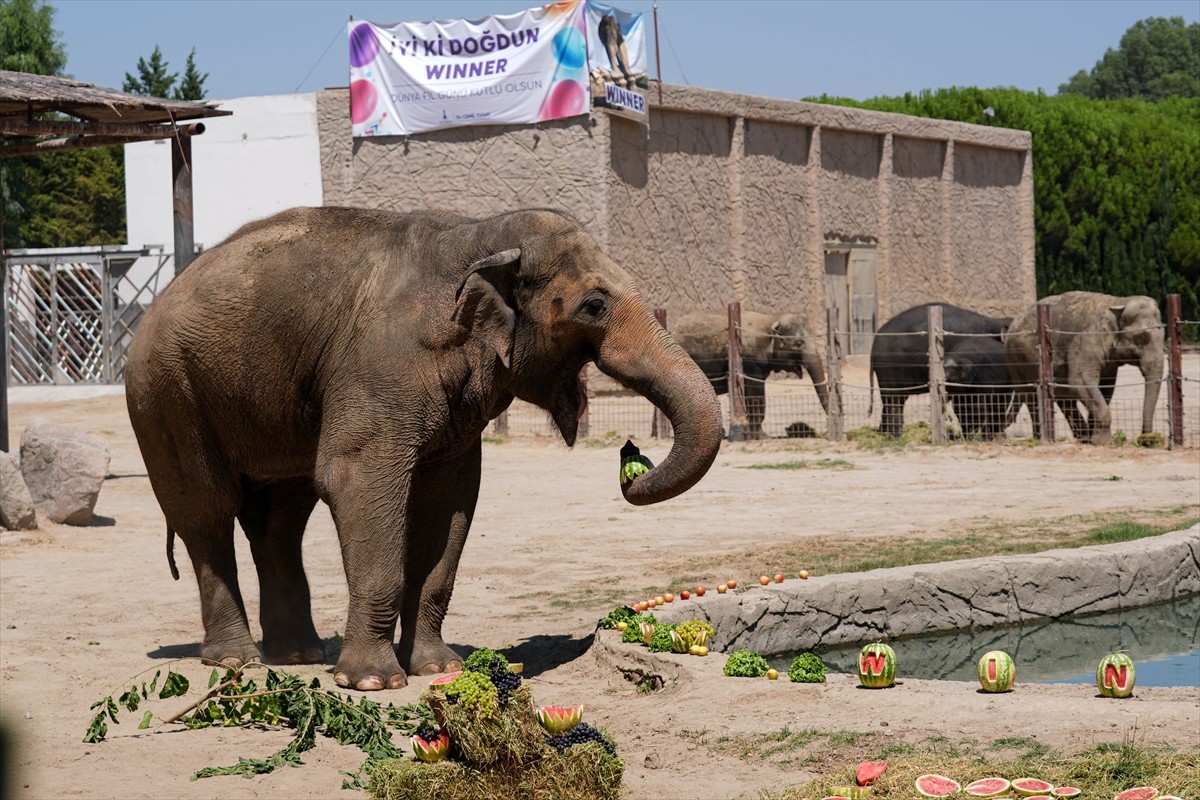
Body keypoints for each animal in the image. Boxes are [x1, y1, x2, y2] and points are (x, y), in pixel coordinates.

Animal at [124, 206, 720, 690]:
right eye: (594, 305)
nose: (629, 458)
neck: (478, 234)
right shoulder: (381, 365)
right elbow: (356, 480)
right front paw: (372, 683)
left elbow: (449, 500)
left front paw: (438, 668)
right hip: (167, 396)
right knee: (207, 512)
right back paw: (235, 662)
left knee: (281, 517)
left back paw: (296, 656)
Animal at [672, 311, 830, 438]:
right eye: (798, 343)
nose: (826, 430)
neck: (770, 318)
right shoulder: (750, 360)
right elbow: (756, 395)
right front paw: (762, 437)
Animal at [1003, 292, 1161, 443]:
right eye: (1143, 337)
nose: (1146, 438)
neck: (1118, 301)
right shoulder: (1086, 340)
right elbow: (1080, 382)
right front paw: (1103, 441)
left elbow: (1105, 387)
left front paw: (1094, 438)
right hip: (1016, 359)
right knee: (1031, 395)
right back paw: (1041, 437)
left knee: (1064, 399)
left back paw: (1083, 438)